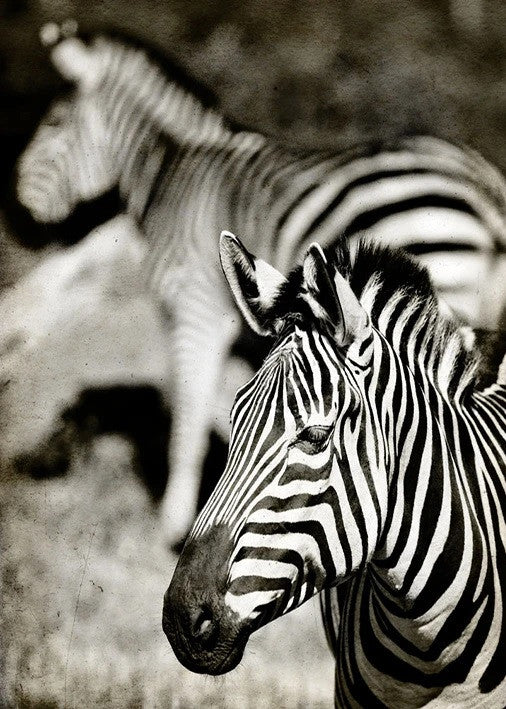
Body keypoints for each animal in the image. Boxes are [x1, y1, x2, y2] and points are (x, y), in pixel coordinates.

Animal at [16, 25, 506, 547]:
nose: (17, 218)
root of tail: (485, 184)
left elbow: (189, 411)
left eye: (54, 124)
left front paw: (173, 524)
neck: (171, 169)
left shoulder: (195, 304)